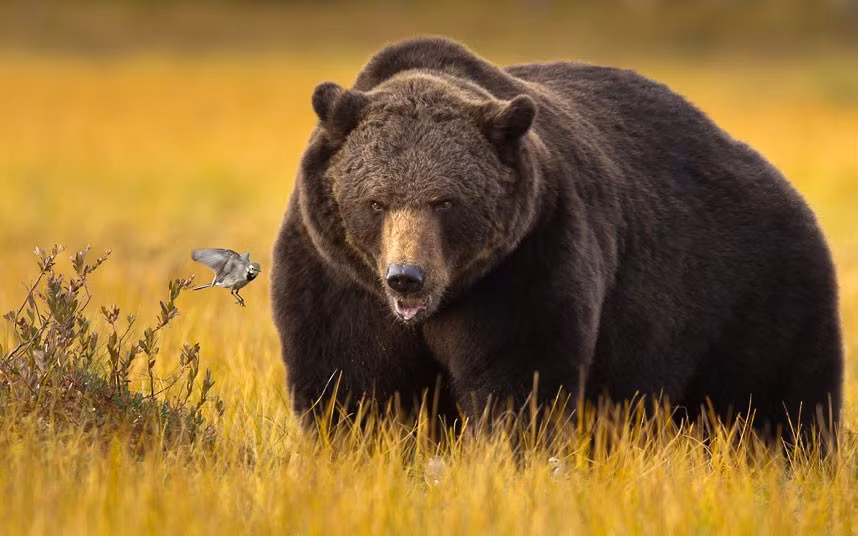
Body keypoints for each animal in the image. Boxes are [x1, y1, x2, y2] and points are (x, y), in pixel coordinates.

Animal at [271, 36, 843, 441]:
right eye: (375, 201)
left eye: (445, 201)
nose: (407, 277)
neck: (443, 303)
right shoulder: (336, 276)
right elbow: (353, 387)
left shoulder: (526, 261)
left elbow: (517, 379)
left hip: (746, 291)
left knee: (778, 406)